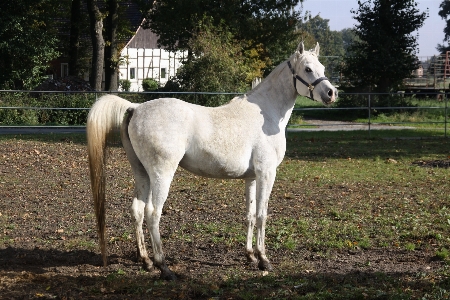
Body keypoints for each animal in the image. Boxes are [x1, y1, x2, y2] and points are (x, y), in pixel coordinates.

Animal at [86, 41, 336, 280]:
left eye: (323, 68)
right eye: (308, 69)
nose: (331, 93)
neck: (267, 114)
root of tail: (136, 108)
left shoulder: (252, 177)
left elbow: (250, 215)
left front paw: (250, 256)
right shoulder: (267, 173)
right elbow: (262, 215)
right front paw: (264, 260)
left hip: (142, 173)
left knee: (137, 210)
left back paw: (146, 260)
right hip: (161, 174)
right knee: (152, 213)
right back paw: (163, 266)